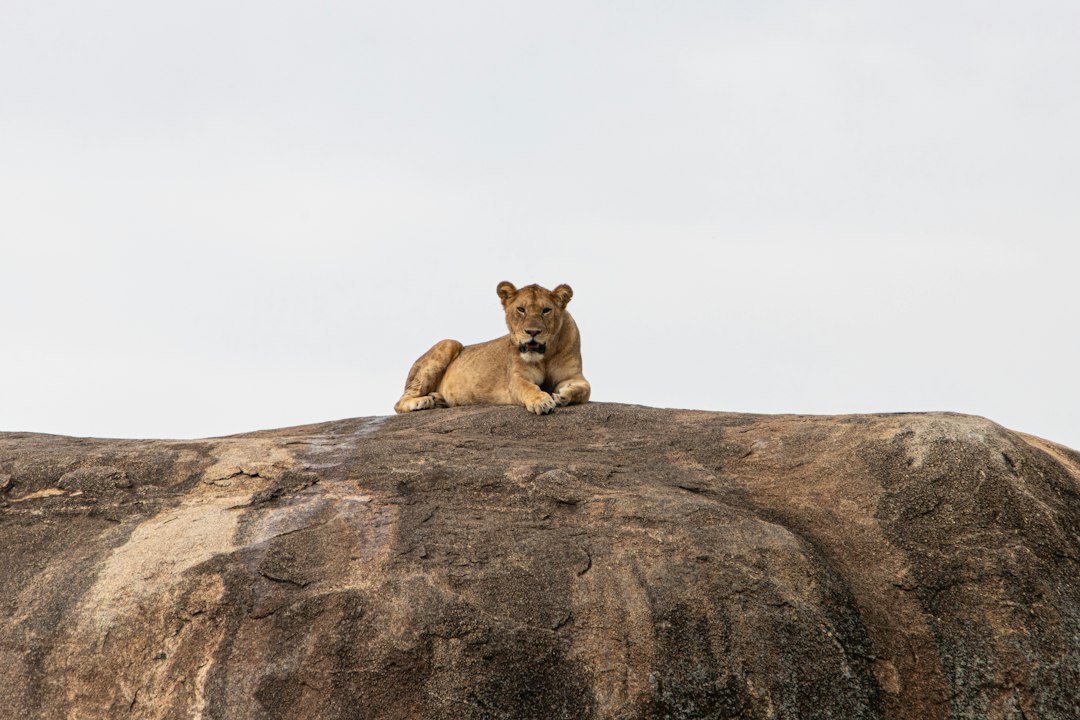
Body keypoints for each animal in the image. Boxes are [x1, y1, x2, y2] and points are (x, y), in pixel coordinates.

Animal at [394, 281, 591, 415]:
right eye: (521, 309)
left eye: (546, 310)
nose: (533, 332)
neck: (545, 355)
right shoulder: (516, 379)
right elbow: (528, 388)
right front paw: (541, 401)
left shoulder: (572, 376)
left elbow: (585, 388)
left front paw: (564, 395)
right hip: (449, 342)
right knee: (399, 402)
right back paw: (423, 402)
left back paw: (439, 400)